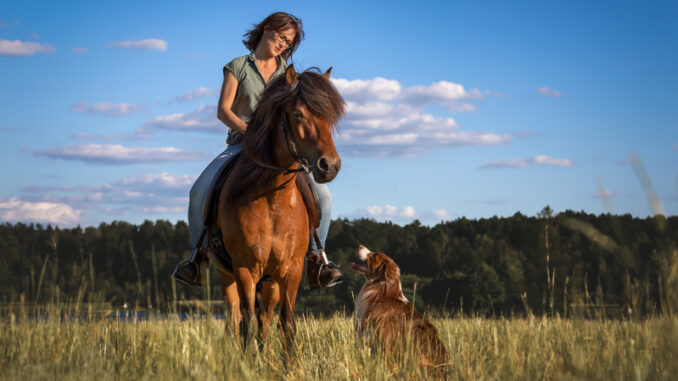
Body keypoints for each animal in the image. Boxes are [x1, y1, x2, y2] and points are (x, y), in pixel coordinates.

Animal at [215, 63, 346, 342]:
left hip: (271, 281)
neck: (273, 200)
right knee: (235, 320)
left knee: (265, 319)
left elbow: (286, 323)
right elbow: (247, 325)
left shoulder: (291, 270)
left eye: (330, 116)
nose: (330, 166)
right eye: (297, 113)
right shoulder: (244, 269)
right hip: (228, 275)